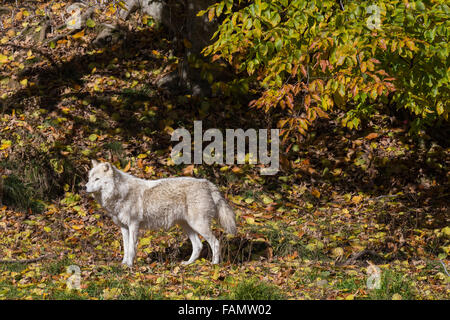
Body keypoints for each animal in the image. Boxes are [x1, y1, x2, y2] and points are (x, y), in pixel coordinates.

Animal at [85, 160, 237, 268]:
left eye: (97, 179)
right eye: (89, 178)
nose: (84, 186)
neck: (120, 192)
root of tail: (208, 183)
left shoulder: (134, 225)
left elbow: (131, 248)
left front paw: (130, 266)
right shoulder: (124, 228)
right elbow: (126, 248)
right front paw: (124, 264)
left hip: (198, 225)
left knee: (215, 242)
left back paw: (214, 265)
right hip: (187, 226)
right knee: (198, 246)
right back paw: (188, 264)